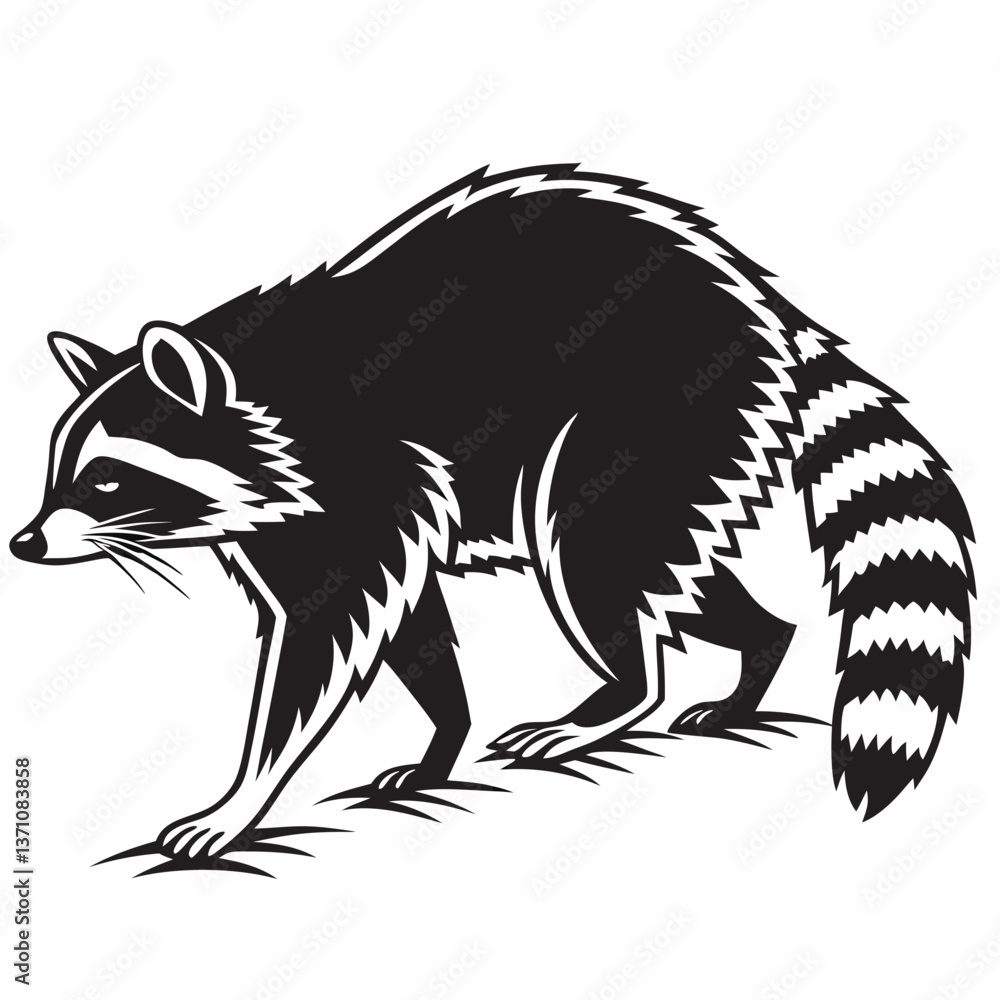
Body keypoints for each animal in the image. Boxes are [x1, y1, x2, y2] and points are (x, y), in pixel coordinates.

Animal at [11, 165, 974, 859]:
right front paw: (443, 740)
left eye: (104, 481)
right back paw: (755, 659)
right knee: (676, 572)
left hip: (645, 406)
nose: (24, 543)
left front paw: (243, 795)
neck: (262, 401)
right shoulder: (332, 512)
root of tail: (762, 304)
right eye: (59, 473)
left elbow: (327, 634)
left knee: (590, 548)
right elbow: (406, 619)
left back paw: (623, 692)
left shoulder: (355, 476)